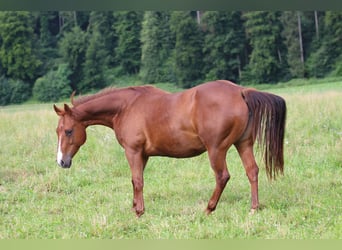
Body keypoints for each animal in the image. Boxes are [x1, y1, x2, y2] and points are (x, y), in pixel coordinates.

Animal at [53, 80, 288, 217]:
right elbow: (135, 181)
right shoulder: (143, 155)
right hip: (243, 144)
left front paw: (139, 212)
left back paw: (209, 208)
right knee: (252, 171)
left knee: (222, 176)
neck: (126, 107)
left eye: (68, 131)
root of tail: (240, 91)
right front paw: (135, 207)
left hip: (216, 150)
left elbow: (137, 181)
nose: (62, 161)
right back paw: (253, 208)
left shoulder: (133, 151)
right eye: (58, 131)